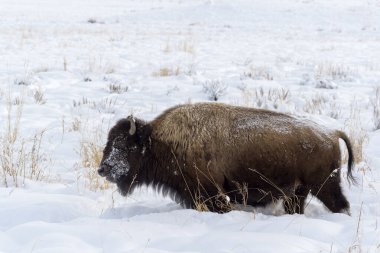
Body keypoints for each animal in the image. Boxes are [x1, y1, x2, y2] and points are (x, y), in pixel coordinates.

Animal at [97, 102, 354, 214]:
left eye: (124, 145)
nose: (103, 169)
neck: (158, 141)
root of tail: (332, 133)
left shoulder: (211, 191)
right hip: (299, 192)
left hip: (324, 186)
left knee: (340, 204)